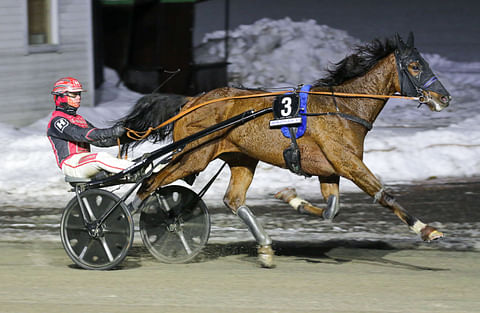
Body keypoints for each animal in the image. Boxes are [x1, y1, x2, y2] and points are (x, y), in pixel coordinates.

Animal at [118, 33, 448, 266]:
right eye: (415, 65)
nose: (444, 97)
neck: (342, 107)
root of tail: (192, 100)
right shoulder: (348, 163)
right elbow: (385, 195)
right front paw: (427, 230)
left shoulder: (331, 171)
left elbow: (331, 210)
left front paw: (290, 196)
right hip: (193, 156)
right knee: (149, 182)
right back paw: (121, 221)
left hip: (240, 158)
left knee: (233, 200)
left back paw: (264, 247)